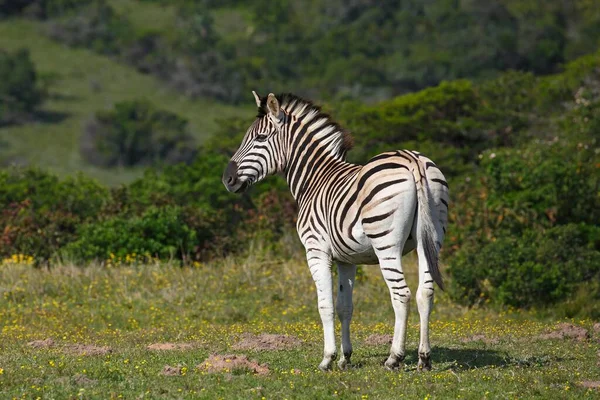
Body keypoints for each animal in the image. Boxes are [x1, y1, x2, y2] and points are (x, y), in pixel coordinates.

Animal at [223, 91, 448, 372]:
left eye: (260, 138)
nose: (227, 179)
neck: (314, 179)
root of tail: (412, 159)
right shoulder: (347, 259)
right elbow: (345, 306)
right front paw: (345, 357)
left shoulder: (316, 250)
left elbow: (325, 305)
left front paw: (327, 358)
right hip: (430, 239)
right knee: (425, 293)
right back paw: (423, 358)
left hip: (386, 244)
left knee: (401, 294)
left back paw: (394, 357)